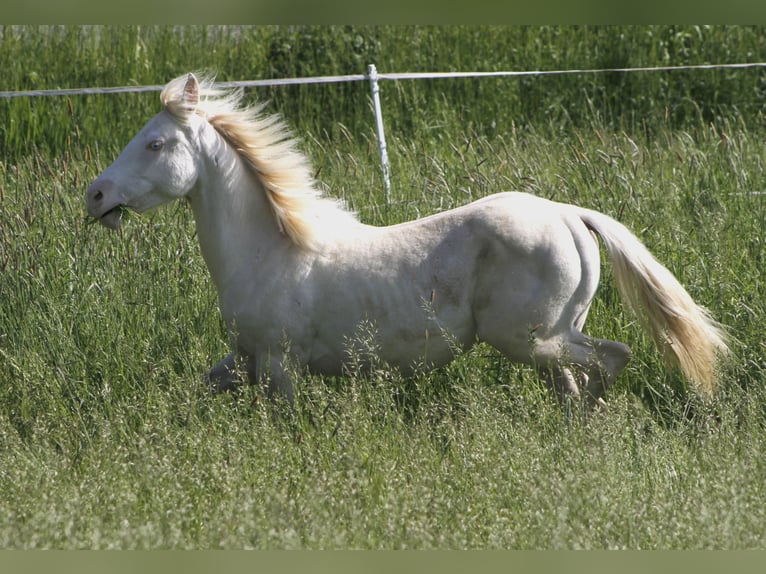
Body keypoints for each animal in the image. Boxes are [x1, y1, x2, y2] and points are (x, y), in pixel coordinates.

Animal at [85, 73, 729, 408]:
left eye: (155, 144)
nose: (95, 196)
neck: (269, 252)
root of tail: (569, 215)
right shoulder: (244, 360)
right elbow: (199, 388)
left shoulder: (279, 364)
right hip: (545, 341)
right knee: (572, 384)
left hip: (531, 339)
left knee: (611, 359)